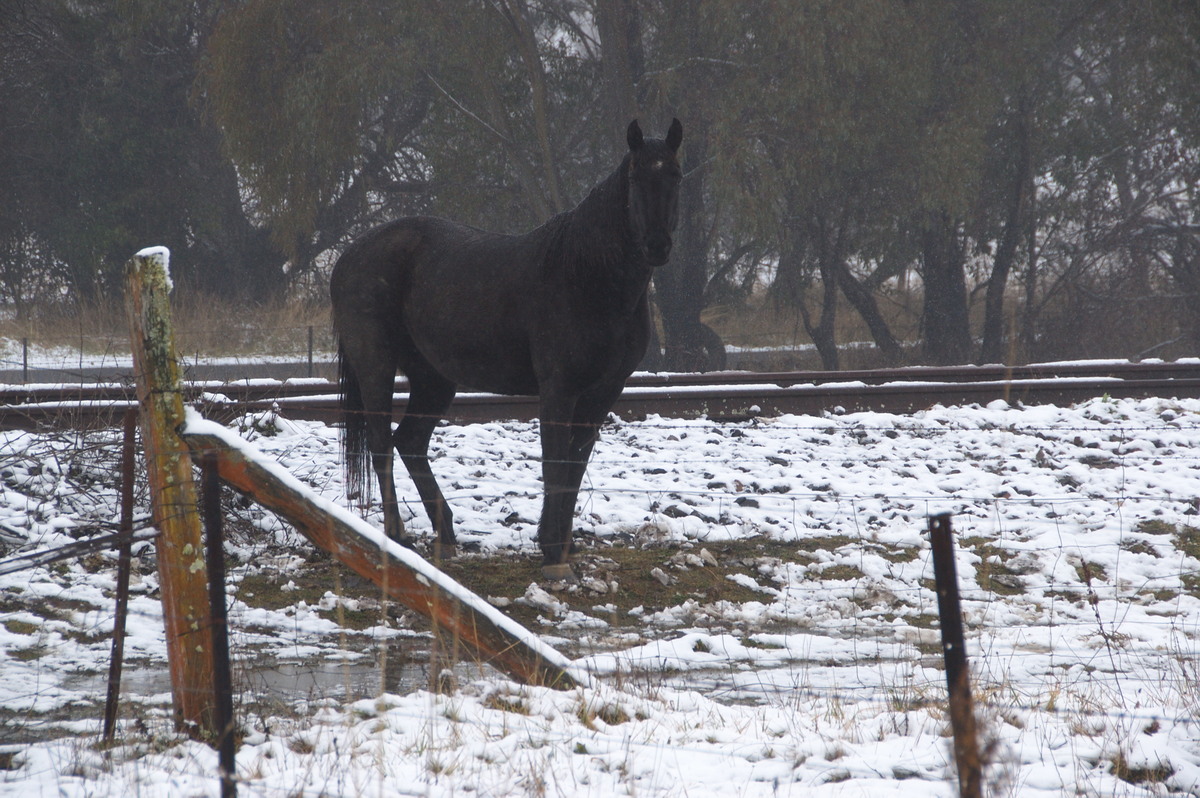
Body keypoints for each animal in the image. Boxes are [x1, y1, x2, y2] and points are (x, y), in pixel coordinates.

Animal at [333, 118, 686, 576]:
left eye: (676, 176)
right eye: (634, 176)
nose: (657, 245)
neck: (588, 276)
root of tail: (349, 256)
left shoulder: (604, 390)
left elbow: (575, 465)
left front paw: (564, 547)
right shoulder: (559, 389)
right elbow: (555, 463)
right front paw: (552, 552)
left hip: (433, 379)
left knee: (409, 441)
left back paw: (445, 534)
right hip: (375, 363)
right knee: (380, 444)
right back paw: (398, 538)